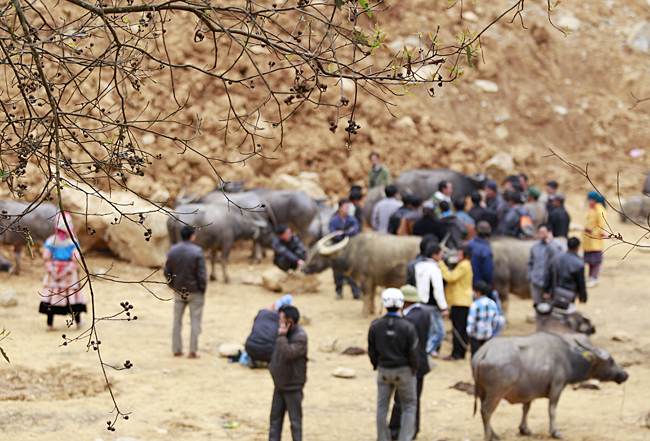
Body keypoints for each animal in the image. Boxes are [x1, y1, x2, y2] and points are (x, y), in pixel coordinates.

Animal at [474, 332, 624, 438]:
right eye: (611, 361)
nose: (625, 374)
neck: (569, 359)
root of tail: (484, 352)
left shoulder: (527, 391)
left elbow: (526, 408)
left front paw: (524, 429)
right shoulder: (557, 387)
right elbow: (552, 410)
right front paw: (555, 431)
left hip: (482, 392)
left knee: (483, 410)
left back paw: (493, 433)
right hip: (496, 392)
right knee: (486, 411)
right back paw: (490, 436)